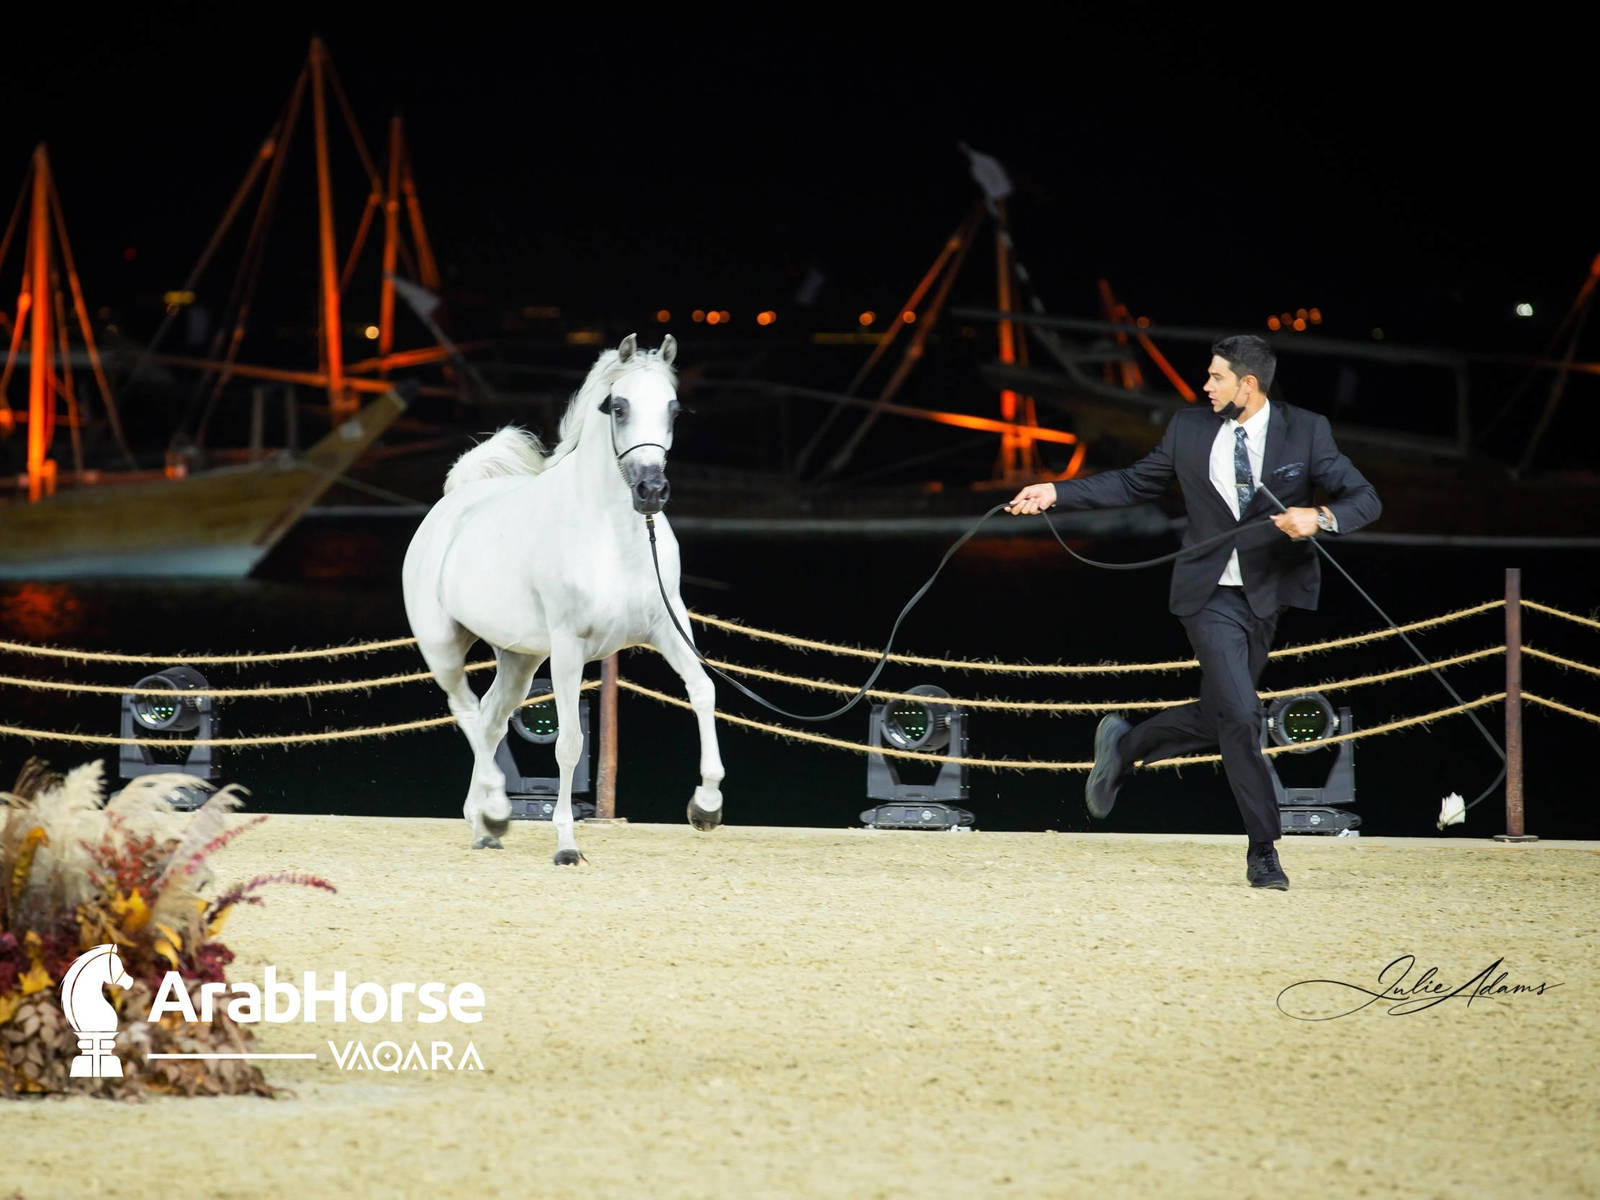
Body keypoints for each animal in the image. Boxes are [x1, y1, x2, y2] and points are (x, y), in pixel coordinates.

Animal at [402, 332, 724, 864]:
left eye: (673, 409)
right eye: (619, 407)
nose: (651, 491)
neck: (614, 538)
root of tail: (454, 502)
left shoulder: (667, 627)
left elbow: (703, 690)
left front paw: (706, 806)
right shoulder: (570, 648)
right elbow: (569, 743)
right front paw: (567, 845)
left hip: (519, 658)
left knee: (490, 718)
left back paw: (485, 823)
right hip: (444, 647)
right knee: (466, 711)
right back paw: (495, 810)